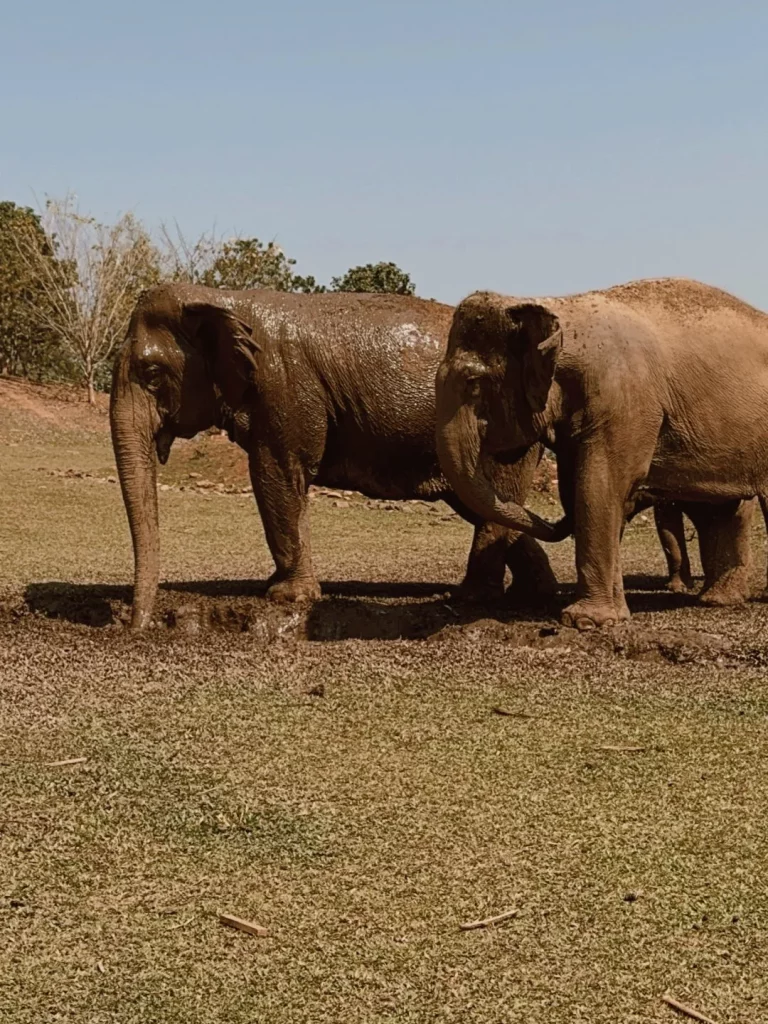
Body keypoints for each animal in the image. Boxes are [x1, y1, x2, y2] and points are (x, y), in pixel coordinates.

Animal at [110, 284, 559, 629]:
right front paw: (276, 587)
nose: (136, 626)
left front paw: (286, 597)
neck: (222, 297)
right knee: (495, 507)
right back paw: (532, 597)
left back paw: (471, 598)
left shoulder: (285, 390)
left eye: (151, 374)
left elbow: (277, 474)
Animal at [435, 277, 768, 629]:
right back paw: (716, 600)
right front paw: (609, 618)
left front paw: (582, 621)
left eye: (473, 383)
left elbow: (598, 485)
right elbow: (585, 489)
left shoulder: (624, 401)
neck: (561, 312)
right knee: (722, 508)